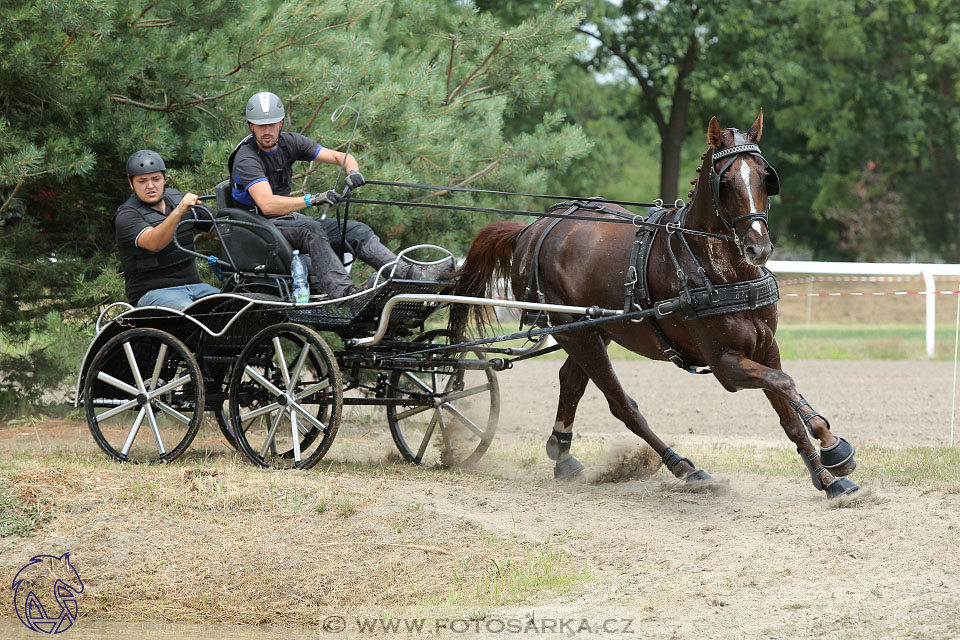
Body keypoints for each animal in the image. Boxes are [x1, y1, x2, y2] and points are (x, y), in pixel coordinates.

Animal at [454, 112, 860, 498]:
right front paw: (833, 447)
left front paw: (828, 477)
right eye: (726, 182)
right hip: (573, 332)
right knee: (622, 405)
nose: (757, 248)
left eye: (764, 177)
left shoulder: (766, 347)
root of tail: (532, 229)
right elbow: (785, 384)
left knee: (570, 380)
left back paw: (563, 455)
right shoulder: (725, 365)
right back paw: (683, 467)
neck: (718, 267)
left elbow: (788, 409)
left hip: (594, 329)